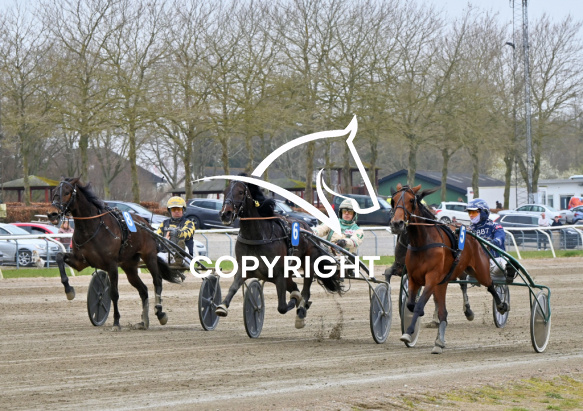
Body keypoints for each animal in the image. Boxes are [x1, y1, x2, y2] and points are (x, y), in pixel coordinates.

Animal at [51, 177, 184, 331]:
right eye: (54, 191)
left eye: (67, 192)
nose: (52, 213)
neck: (92, 228)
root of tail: (146, 224)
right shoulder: (80, 261)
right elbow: (59, 257)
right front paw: (69, 291)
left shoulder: (112, 265)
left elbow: (114, 293)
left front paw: (116, 322)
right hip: (129, 266)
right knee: (143, 289)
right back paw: (144, 321)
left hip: (149, 256)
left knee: (157, 281)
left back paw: (160, 313)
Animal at [216, 178, 343, 328]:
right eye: (224, 192)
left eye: (240, 192)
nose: (225, 214)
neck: (257, 236)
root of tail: (309, 230)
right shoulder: (244, 268)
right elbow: (233, 287)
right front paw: (222, 306)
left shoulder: (279, 273)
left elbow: (282, 307)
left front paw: (296, 301)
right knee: (294, 286)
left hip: (308, 264)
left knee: (305, 291)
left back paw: (301, 308)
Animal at [390, 183, 508, 354]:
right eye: (393, 201)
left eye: (411, 200)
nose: (396, 223)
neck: (423, 242)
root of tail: (471, 234)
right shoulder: (414, 278)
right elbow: (411, 304)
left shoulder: (432, 278)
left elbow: (418, 306)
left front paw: (408, 332)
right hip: (445, 281)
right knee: (443, 312)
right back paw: (439, 341)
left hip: (479, 270)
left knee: (491, 285)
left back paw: (500, 305)